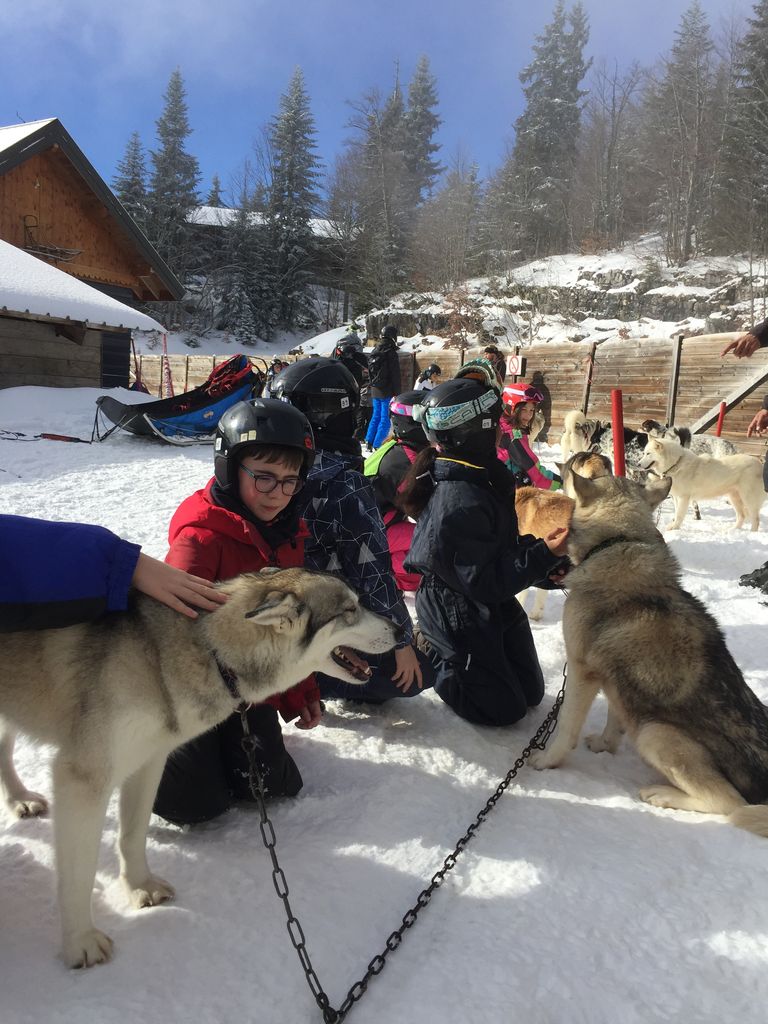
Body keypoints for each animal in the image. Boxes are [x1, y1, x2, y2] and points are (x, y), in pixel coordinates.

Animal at [0, 567, 399, 968]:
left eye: (358, 603)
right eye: (350, 609)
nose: (400, 630)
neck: (209, 650)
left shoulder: (148, 760)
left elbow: (132, 834)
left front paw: (140, 886)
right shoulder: (83, 778)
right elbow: (78, 874)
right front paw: (80, 942)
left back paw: (20, 799)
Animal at [529, 472, 768, 838]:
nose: (559, 477)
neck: (619, 541)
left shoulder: (583, 672)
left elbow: (565, 731)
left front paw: (546, 762)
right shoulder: (616, 683)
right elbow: (614, 721)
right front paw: (605, 746)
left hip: (654, 733)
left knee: (729, 804)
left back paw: (662, 794)